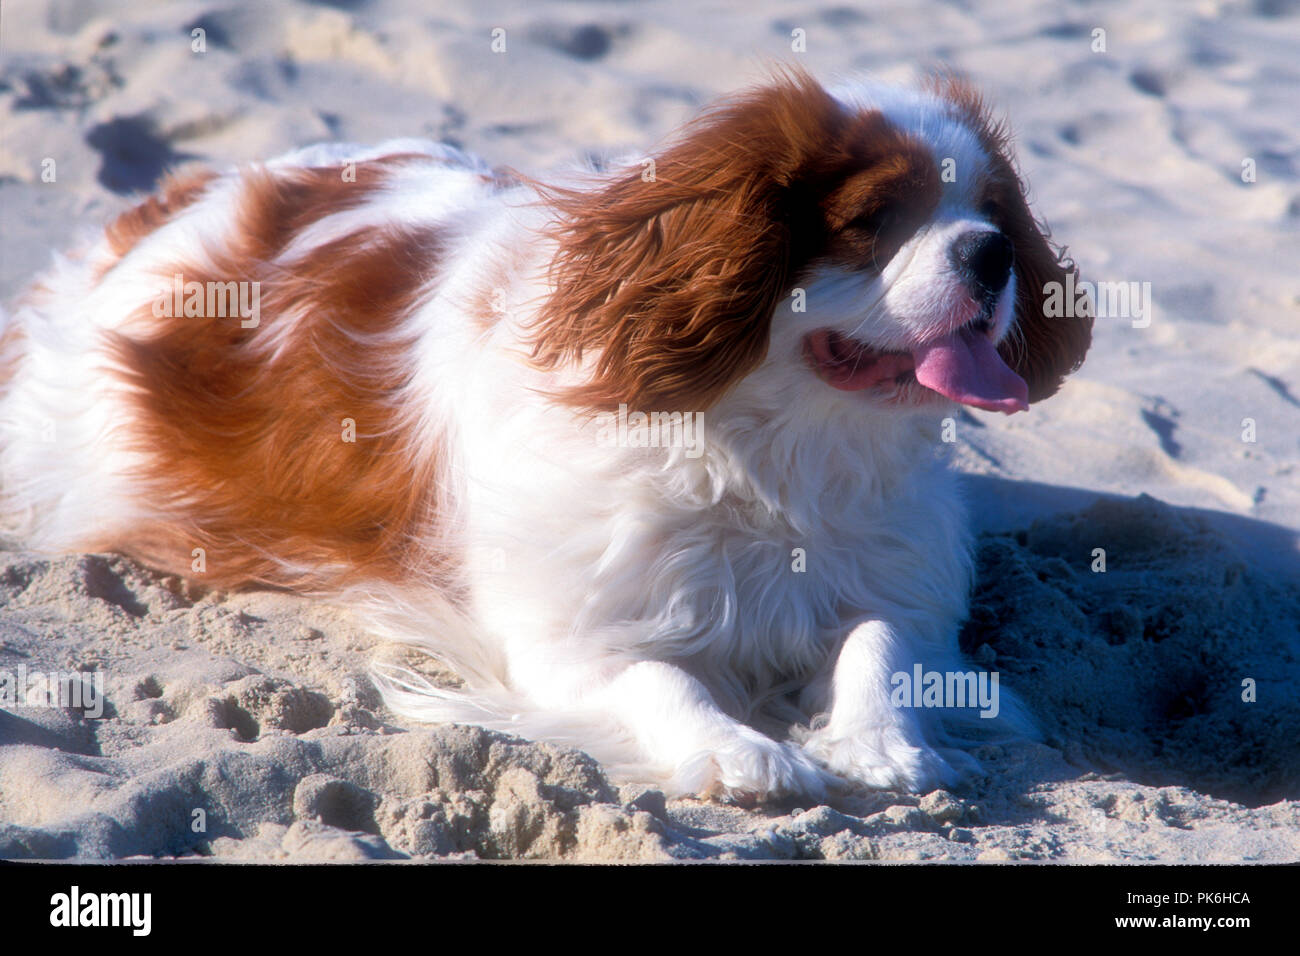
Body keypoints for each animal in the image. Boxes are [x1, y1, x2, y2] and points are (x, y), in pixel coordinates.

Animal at [0, 67, 1092, 801]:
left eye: (993, 213)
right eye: (874, 219)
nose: (993, 254)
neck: (769, 447)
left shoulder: (892, 575)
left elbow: (880, 641)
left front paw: (880, 741)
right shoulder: (564, 643)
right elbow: (656, 674)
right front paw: (738, 748)